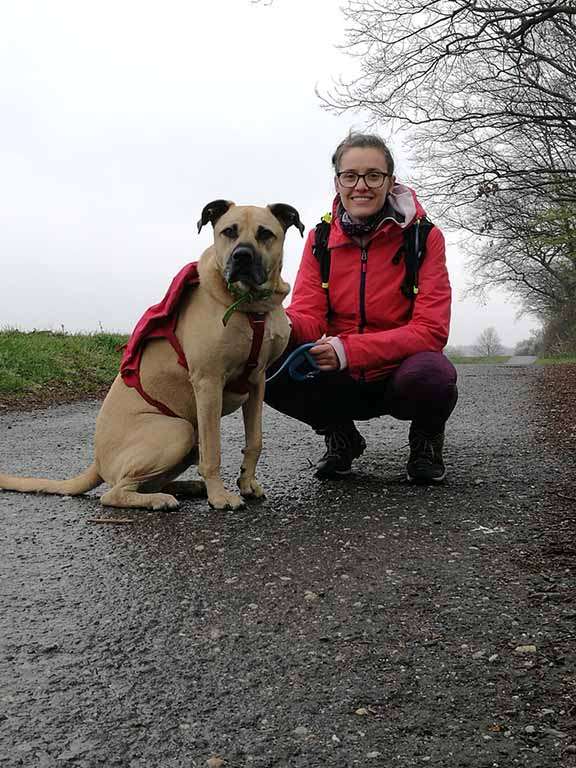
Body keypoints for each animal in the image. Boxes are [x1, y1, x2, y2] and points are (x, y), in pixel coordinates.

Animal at [0, 201, 304, 510]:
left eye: (265, 233)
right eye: (228, 231)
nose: (241, 256)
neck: (251, 306)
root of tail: (97, 462)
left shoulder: (257, 381)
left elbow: (255, 440)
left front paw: (247, 482)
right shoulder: (208, 383)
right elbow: (213, 451)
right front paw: (219, 496)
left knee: (147, 482)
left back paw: (186, 487)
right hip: (180, 429)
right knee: (114, 493)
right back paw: (162, 499)